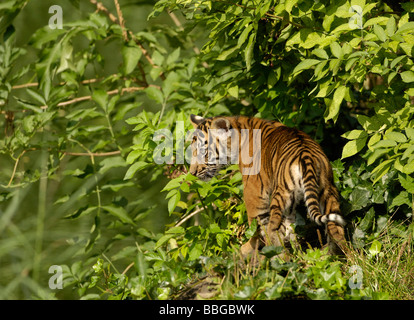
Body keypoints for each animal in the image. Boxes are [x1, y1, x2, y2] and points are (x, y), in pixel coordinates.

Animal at [189, 115, 348, 258]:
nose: (192, 172)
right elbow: (288, 228)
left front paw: (245, 249)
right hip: (328, 192)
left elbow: (257, 228)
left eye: (204, 152)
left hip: (280, 196)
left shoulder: (253, 193)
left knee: (273, 230)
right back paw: (337, 256)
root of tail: (306, 156)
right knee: (336, 229)